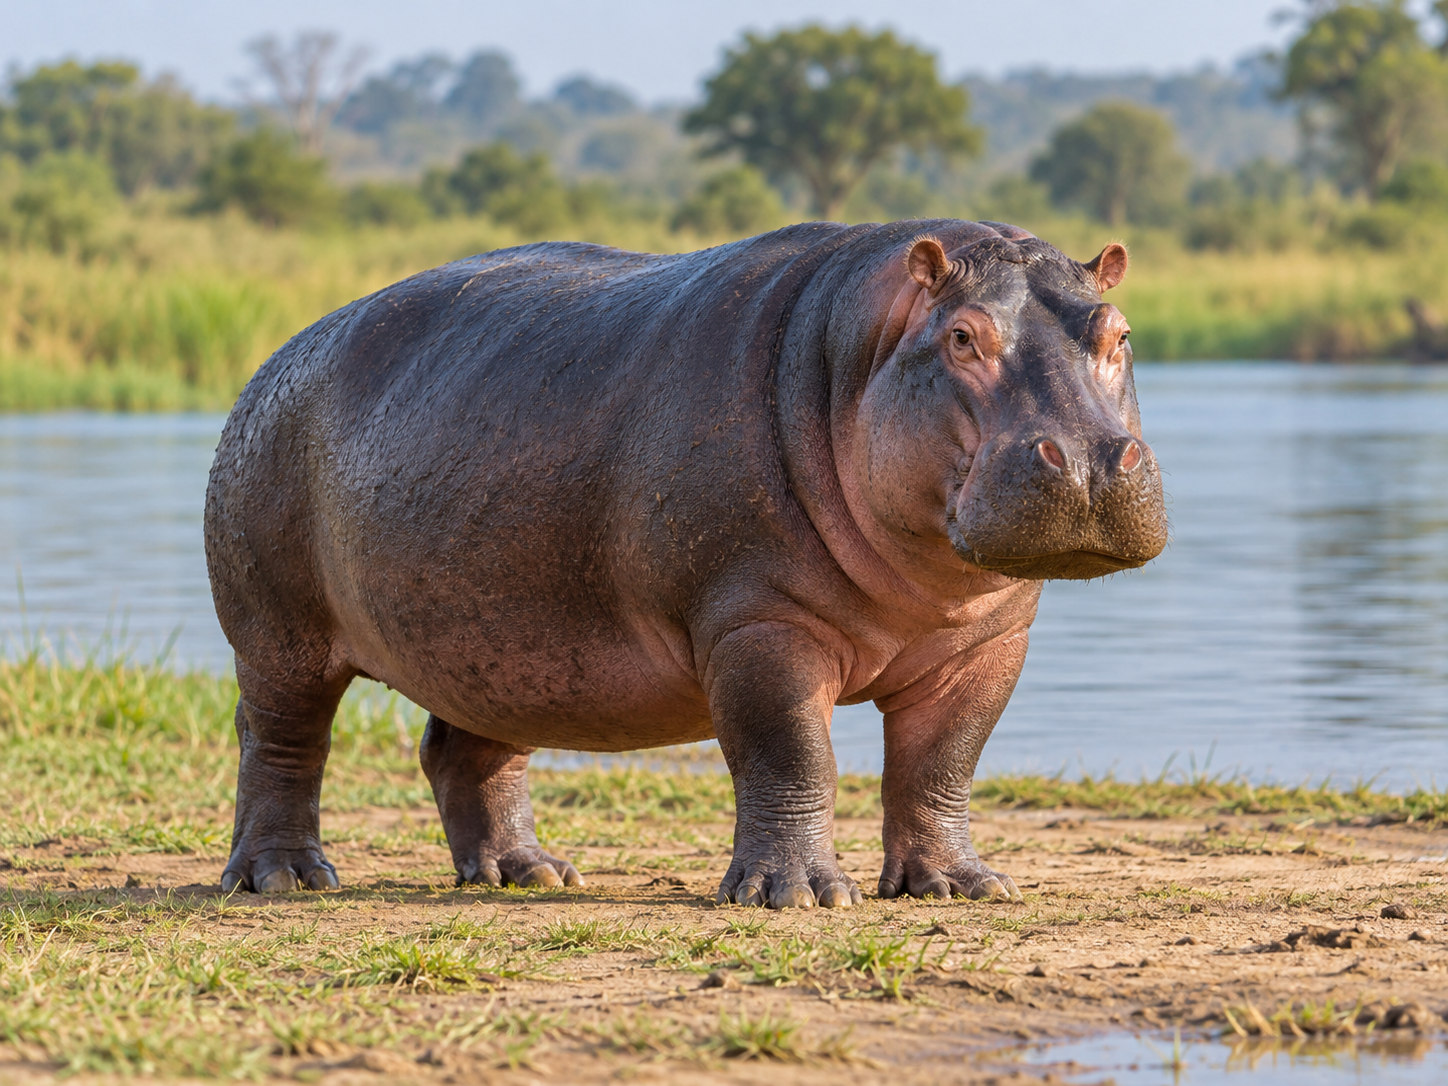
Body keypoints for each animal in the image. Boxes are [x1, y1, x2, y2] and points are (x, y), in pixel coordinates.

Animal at [205, 219, 1167, 908]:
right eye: (964, 337)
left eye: (1119, 334)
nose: (1088, 460)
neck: (868, 347)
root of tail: (281, 351)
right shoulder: (755, 622)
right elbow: (790, 753)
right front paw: (797, 896)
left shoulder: (987, 644)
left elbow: (943, 763)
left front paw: (964, 888)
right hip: (278, 635)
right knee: (281, 741)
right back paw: (284, 880)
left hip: (497, 638)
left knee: (466, 753)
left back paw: (531, 873)